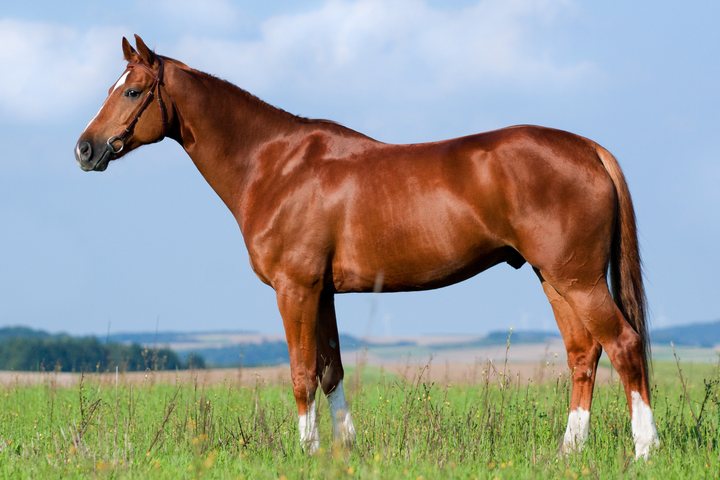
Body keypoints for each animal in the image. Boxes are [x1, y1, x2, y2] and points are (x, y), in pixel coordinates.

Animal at [75, 35, 659, 459]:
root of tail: (588, 149)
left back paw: (644, 450)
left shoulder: (295, 288)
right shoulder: (324, 292)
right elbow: (330, 369)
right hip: (554, 278)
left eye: (132, 92)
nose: (84, 148)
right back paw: (569, 451)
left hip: (578, 279)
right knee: (583, 353)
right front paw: (344, 449)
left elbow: (301, 373)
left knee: (624, 345)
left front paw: (308, 453)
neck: (274, 165)